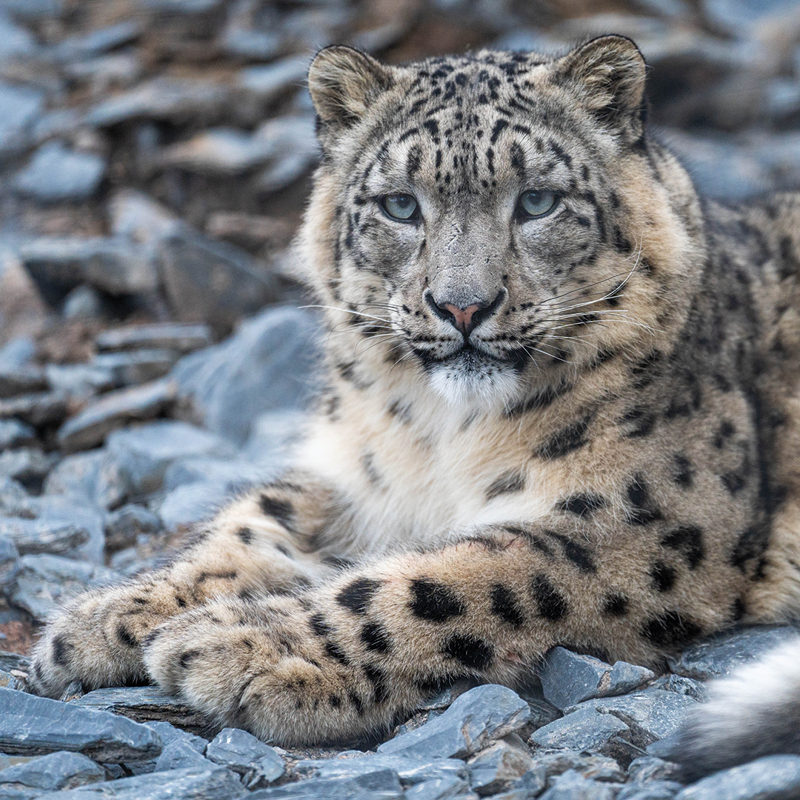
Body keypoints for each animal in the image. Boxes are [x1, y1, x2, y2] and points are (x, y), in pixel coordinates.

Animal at [29, 35, 800, 773]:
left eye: (538, 201)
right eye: (400, 205)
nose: (463, 305)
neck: (441, 436)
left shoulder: (641, 519)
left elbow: (444, 581)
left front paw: (244, 645)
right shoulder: (355, 478)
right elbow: (251, 523)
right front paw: (107, 616)